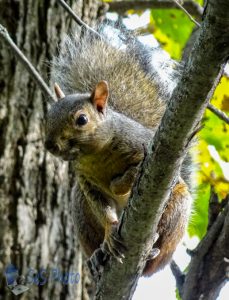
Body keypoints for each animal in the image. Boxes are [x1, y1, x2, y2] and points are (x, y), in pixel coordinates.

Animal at [44, 23, 191, 276]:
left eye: (82, 119)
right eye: (48, 116)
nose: (50, 145)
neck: (96, 155)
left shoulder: (147, 152)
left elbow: (126, 179)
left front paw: (125, 179)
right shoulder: (87, 183)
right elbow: (103, 207)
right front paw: (111, 231)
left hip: (177, 209)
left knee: (155, 259)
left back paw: (152, 251)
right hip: (80, 208)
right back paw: (98, 254)